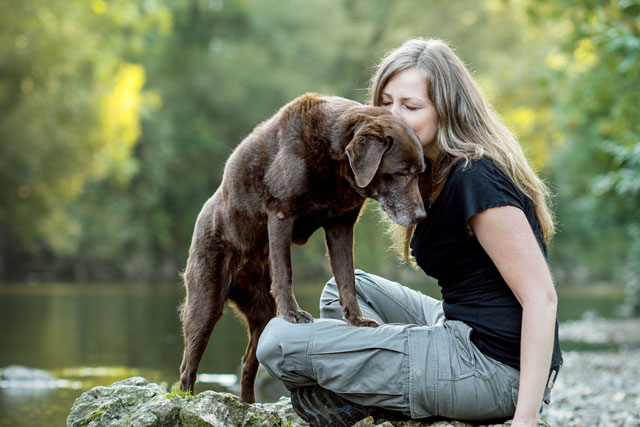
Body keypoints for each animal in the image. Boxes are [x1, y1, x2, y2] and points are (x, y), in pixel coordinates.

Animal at [179, 93, 424, 402]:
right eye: (402, 172)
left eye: (419, 173)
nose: (422, 216)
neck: (333, 155)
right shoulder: (281, 213)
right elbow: (285, 271)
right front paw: (293, 313)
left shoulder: (341, 226)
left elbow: (347, 279)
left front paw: (356, 319)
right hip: (205, 303)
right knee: (188, 364)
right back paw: (186, 398)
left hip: (261, 313)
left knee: (248, 362)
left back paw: (248, 403)